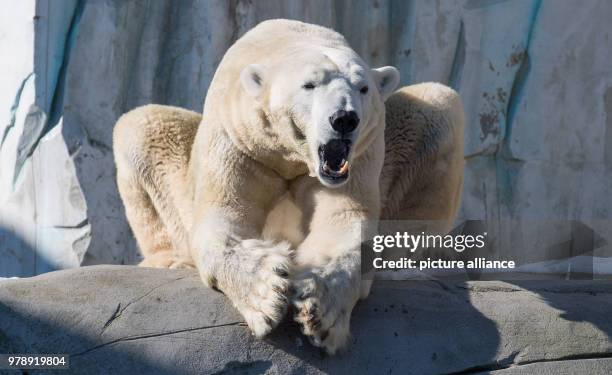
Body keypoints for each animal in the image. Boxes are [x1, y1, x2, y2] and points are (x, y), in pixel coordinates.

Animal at [113, 19, 464, 356]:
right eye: (310, 85)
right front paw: (266, 292)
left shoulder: (362, 152)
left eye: (363, 87)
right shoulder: (240, 139)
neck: (292, 154)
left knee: (437, 106)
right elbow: (225, 215)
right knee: (142, 123)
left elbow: (344, 218)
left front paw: (321, 310)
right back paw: (171, 260)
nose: (344, 118)